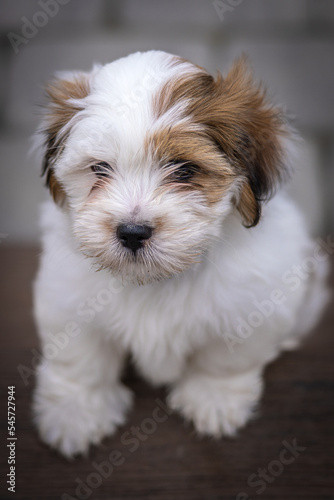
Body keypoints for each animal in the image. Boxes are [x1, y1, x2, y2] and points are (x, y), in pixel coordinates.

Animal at [32, 49, 328, 458]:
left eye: (185, 170)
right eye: (99, 169)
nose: (132, 232)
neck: (159, 278)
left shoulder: (248, 303)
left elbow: (225, 359)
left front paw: (214, 399)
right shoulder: (67, 297)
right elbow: (80, 357)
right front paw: (77, 412)